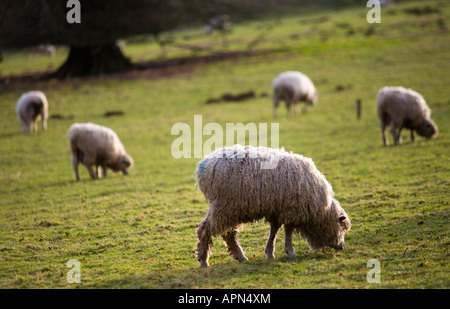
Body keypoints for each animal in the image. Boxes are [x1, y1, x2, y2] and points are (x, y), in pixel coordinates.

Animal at [195, 143, 350, 266]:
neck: (322, 211)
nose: (342, 246)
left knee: (228, 234)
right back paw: (204, 260)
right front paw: (290, 252)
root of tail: (205, 164)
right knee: (205, 229)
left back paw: (240, 256)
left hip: (231, 209)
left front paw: (270, 252)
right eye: (341, 227)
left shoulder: (278, 210)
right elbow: (288, 230)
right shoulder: (291, 209)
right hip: (225, 206)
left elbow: (274, 230)